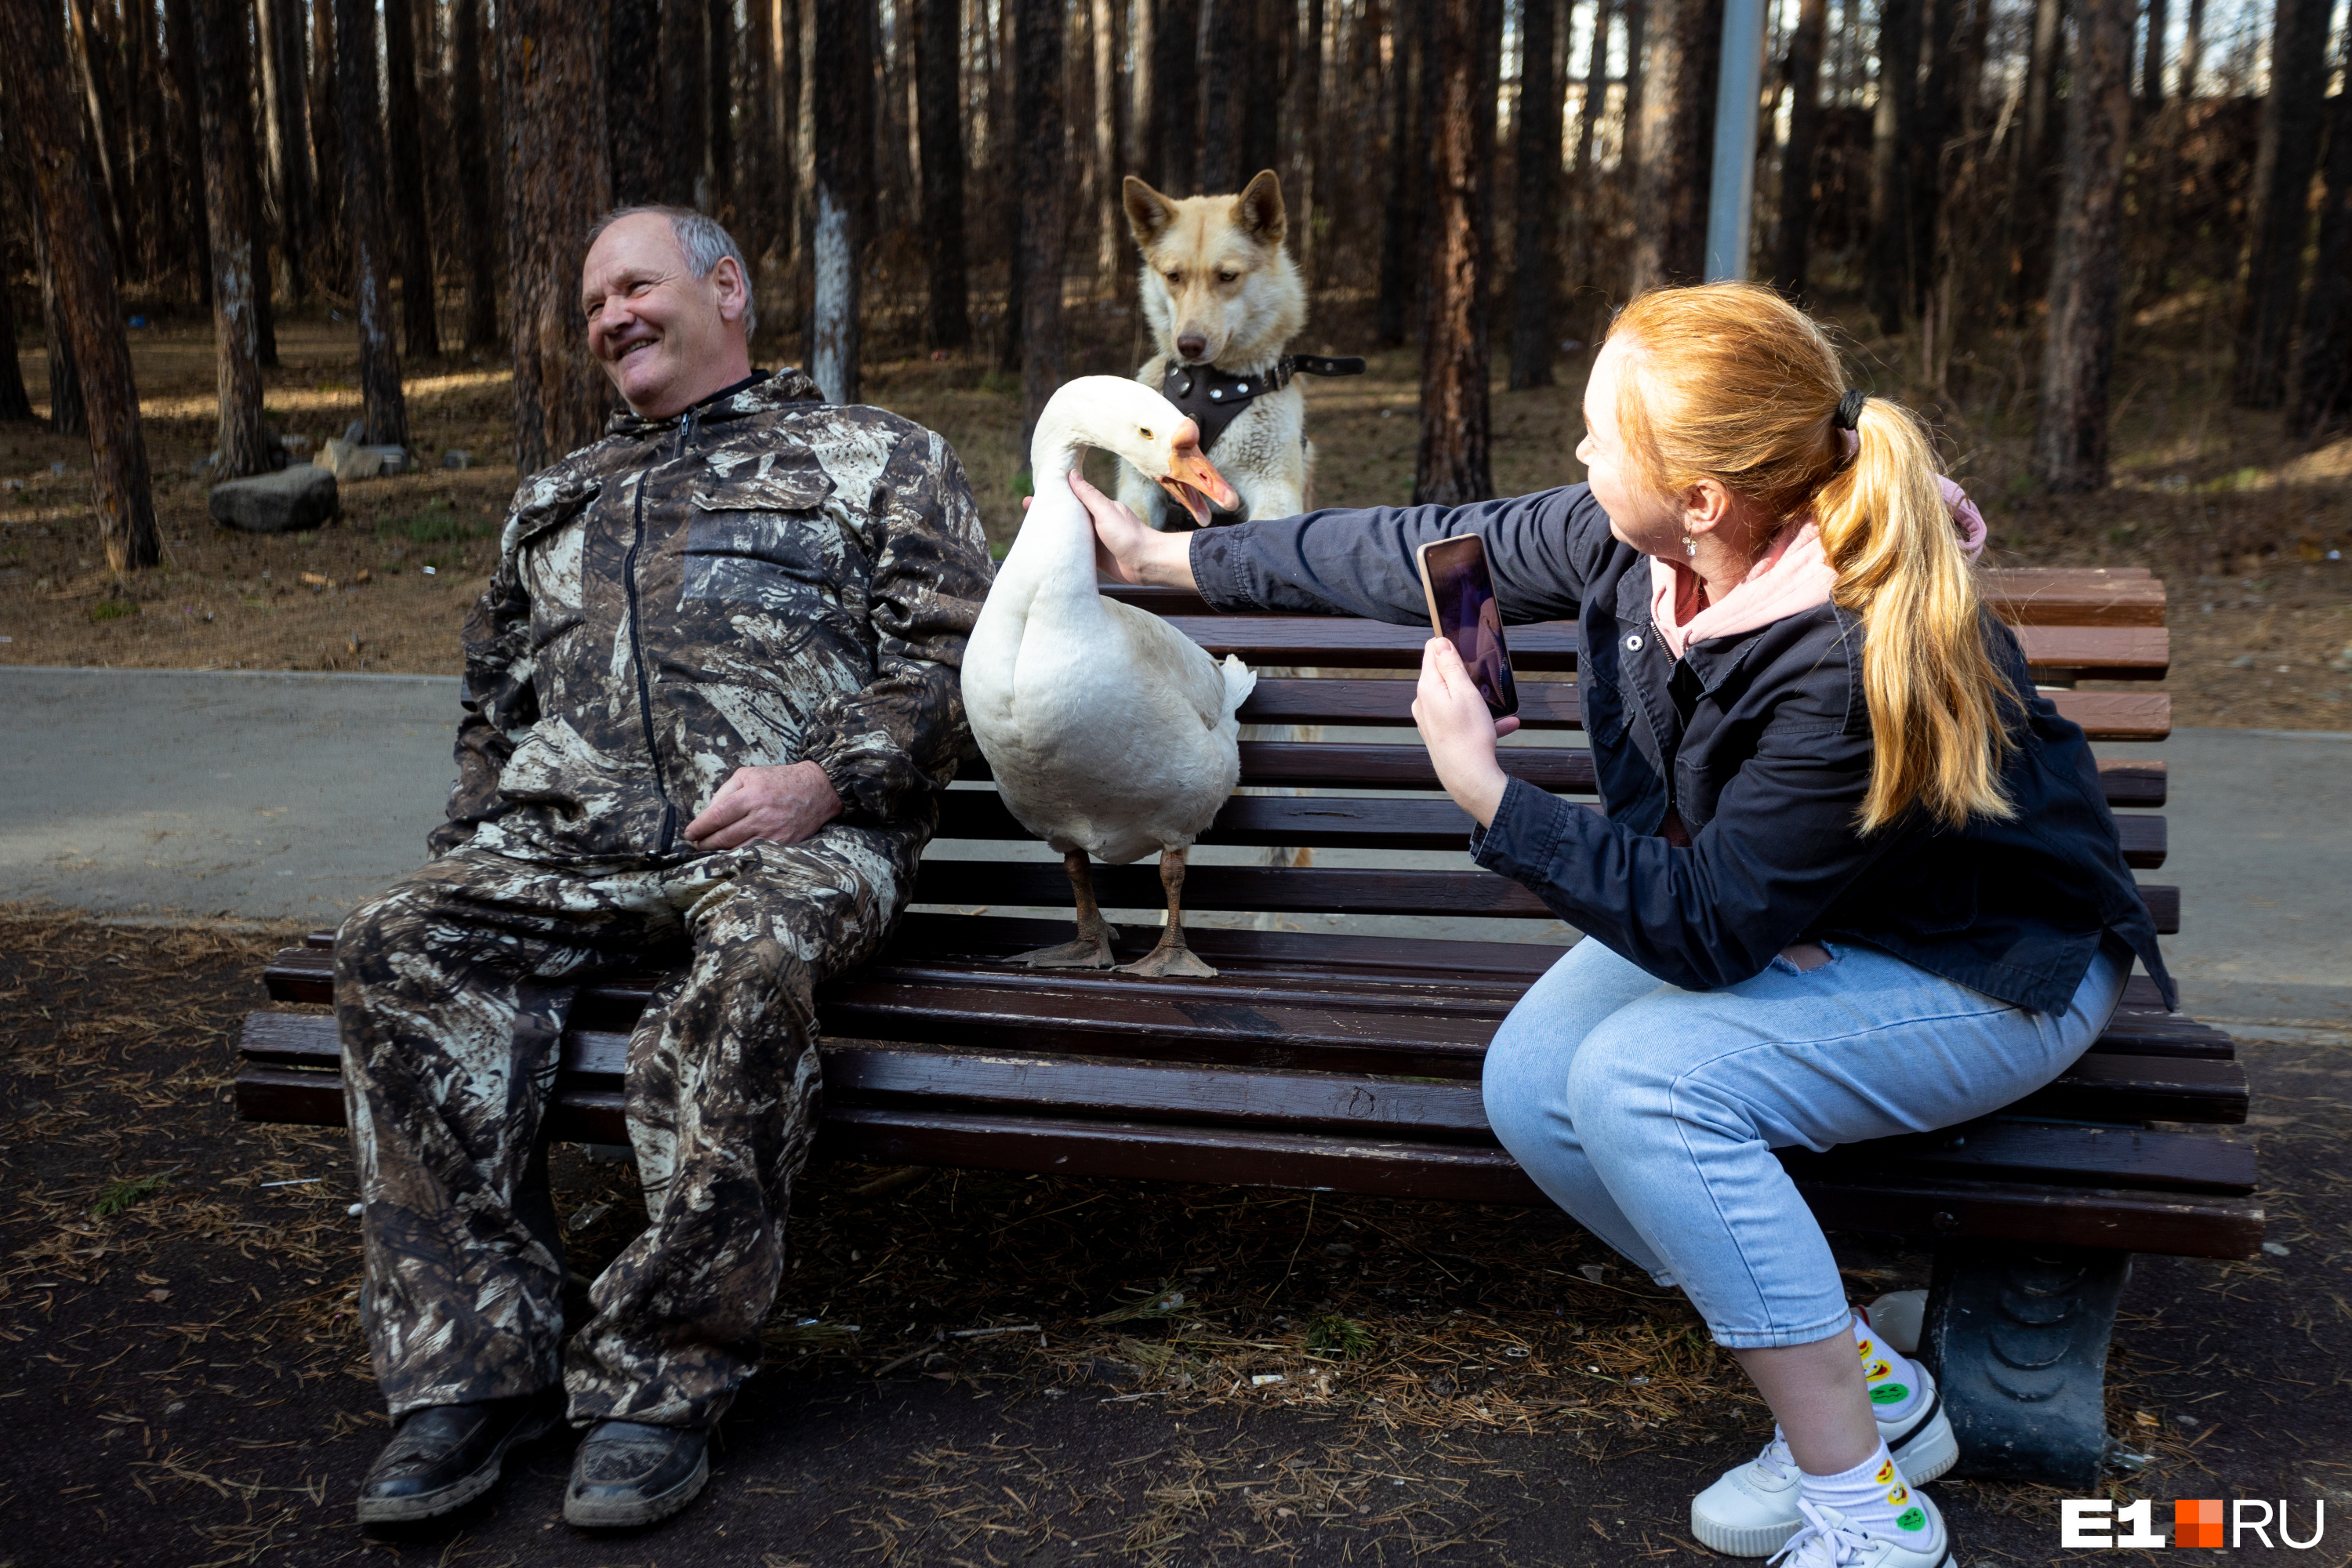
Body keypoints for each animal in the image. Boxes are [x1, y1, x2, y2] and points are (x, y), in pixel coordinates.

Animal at [1120, 171, 1327, 526]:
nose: (1188, 345)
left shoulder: (1276, 491)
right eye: (1174, 276)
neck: (1209, 388)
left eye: (1227, 276)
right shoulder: (1138, 487)